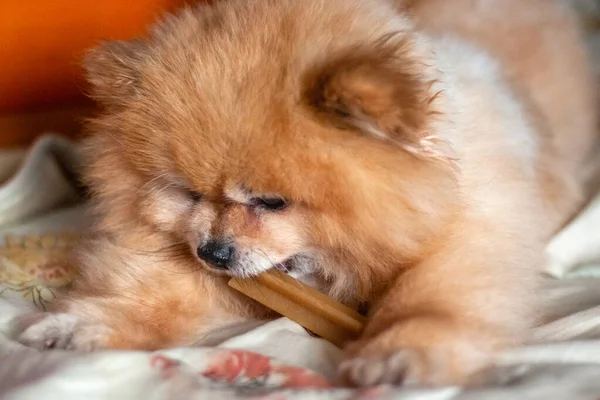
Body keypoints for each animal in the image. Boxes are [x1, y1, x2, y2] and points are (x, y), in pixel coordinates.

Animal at [14, 0, 596, 388]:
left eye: (271, 202)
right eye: (188, 194)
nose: (212, 251)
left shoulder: (477, 230)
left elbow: (432, 294)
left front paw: (400, 352)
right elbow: (158, 293)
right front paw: (81, 324)